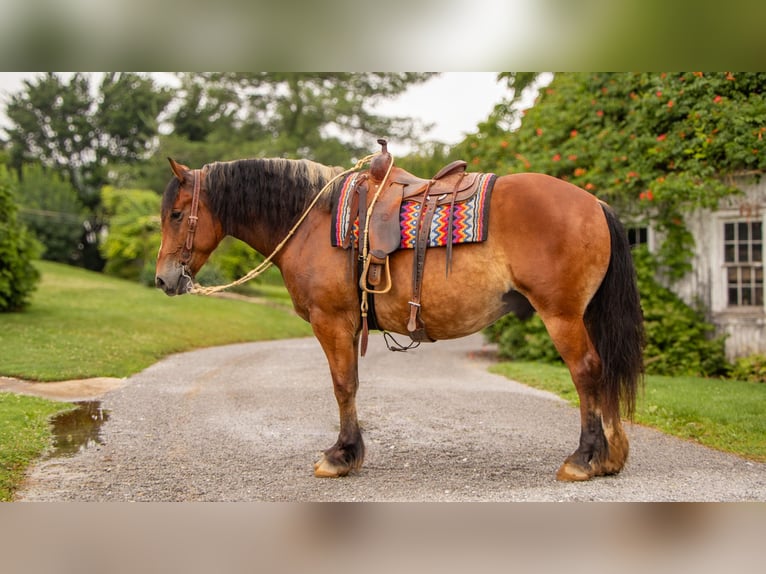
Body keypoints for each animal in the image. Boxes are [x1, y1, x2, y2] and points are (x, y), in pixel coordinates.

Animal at [158, 152, 648, 482]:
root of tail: (594, 204)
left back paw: (584, 459)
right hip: (583, 315)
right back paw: (610, 457)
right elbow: (350, 384)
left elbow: (343, 385)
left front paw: (342, 455)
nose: (163, 279)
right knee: (602, 373)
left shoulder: (332, 322)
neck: (312, 222)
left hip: (562, 315)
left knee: (587, 372)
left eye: (177, 214)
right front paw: (349, 452)